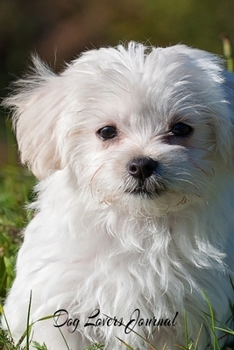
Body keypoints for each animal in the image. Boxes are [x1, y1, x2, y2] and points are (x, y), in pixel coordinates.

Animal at [1, 42, 234, 348]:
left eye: (181, 129)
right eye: (107, 132)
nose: (142, 164)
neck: (138, 225)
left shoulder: (190, 310)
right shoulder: (53, 298)